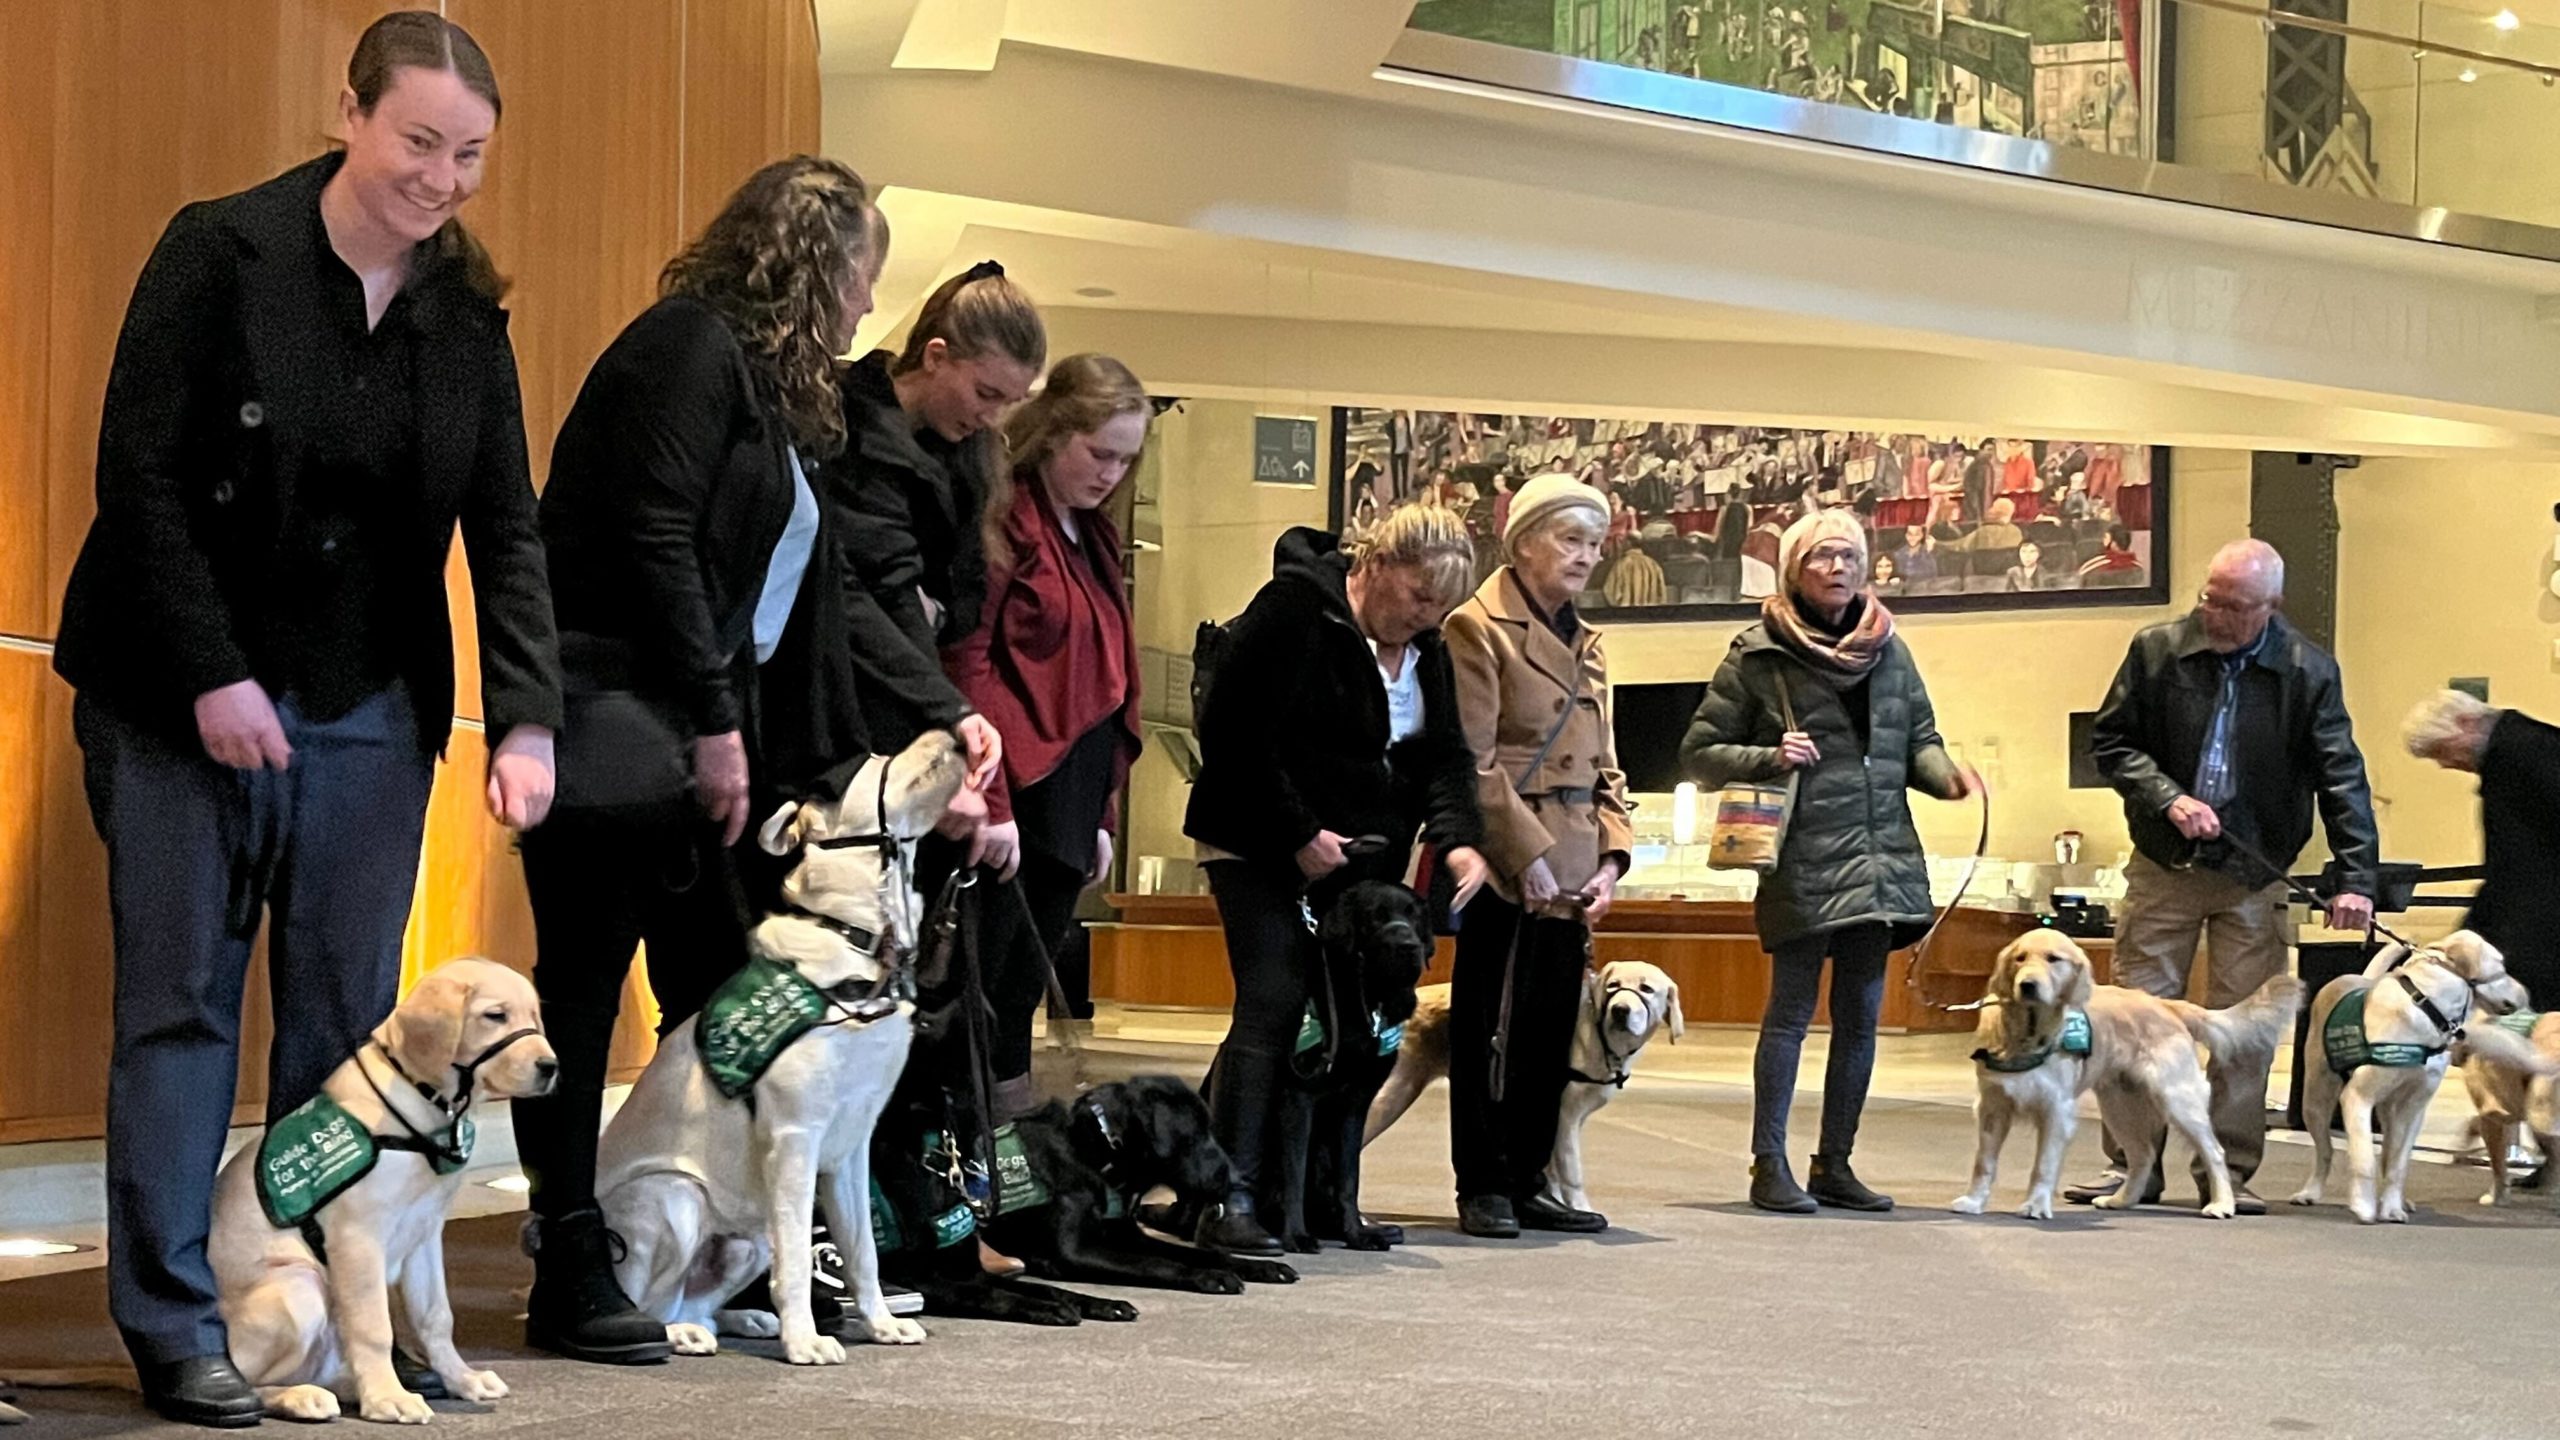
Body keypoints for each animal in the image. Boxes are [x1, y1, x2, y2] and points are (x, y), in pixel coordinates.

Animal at [208, 958, 555, 1414]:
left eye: (534, 1015)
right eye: (495, 1016)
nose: (551, 1067)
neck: (419, 1100)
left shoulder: (425, 1233)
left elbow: (435, 1317)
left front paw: (462, 1379)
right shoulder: (357, 1237)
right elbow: (374, 1326)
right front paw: (388, 1398)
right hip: (299, 1287)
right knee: (253, 1382)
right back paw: (300, 1396)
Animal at [593, 727, 962, 1352]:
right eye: (876, 759)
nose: (955, 733)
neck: (861, 945)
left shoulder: (851, 1147)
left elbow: (862, 1251)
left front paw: (880, 1323)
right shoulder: (794, 1137)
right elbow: (795, 1262)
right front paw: (805, 1340)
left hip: (748, 1233)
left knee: (699, 1302)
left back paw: (737, 1320)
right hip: (674, 1197)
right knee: (649, 1301)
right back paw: (676, 1333)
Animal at [1945, 922, 2314, 1214]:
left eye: (2053, 959)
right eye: (2020, 958)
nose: (2028, 985)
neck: (2027, 1032)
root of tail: (2166, 1005)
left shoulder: (2056, 1109)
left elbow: (2043, 1166)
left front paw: (2036, 1205)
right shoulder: (1992, 1107)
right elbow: (1984, 1163)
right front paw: (1974, 1202)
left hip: (2178, 1099)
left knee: (2215, 1152)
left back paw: (2222, 1203)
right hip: (2119, 1107)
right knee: (2143, 1154)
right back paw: (2122, 1199)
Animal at [2293, 922, 2529, 1214]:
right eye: (2501, 965)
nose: (2525, 994)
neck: (2427, 1006)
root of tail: (2361, 978)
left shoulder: (2415, 1104)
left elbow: (2399, 1163)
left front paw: (2393, 1208)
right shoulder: (2357, 1097)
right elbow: (2363, 1156)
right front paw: (2363, 1204)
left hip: (2395, 1111)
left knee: (2390, 1151)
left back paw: (2398, 1201)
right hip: (2315, 1098)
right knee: (2325, 1150)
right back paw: (2310, 1192)